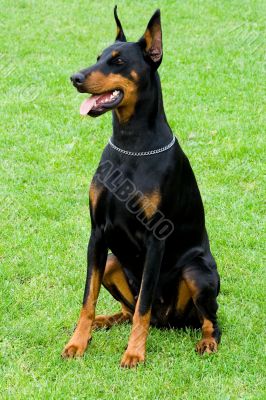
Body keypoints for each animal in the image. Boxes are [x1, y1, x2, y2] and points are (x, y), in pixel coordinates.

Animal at [62, 7, 220, 368]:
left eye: (118, 61)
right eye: (98, 57)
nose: (75, 77)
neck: (131, 145)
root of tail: (169, 321)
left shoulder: (155, 238)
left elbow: (144, 305)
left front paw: (134, 352)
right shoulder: (97, 233)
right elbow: (87, 299)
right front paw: (78, 342)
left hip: (197, 271)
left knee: (210, 320)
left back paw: (206, 341)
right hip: (110, 262)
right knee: (126, 307)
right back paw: (104, 322)